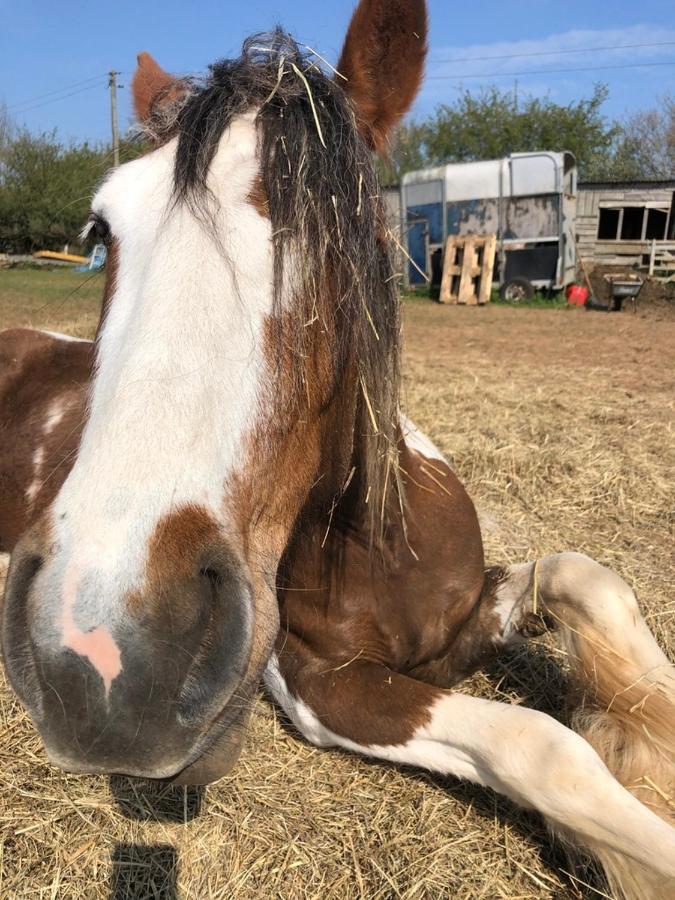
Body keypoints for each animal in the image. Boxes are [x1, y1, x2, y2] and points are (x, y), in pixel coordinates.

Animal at [0, 3, 672, 896]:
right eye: (101, 231)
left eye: (337, 234)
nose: (100, 659)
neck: (374, 550)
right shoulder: (324, 689)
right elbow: (542, 746)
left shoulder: (467, 615)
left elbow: (585, 578)